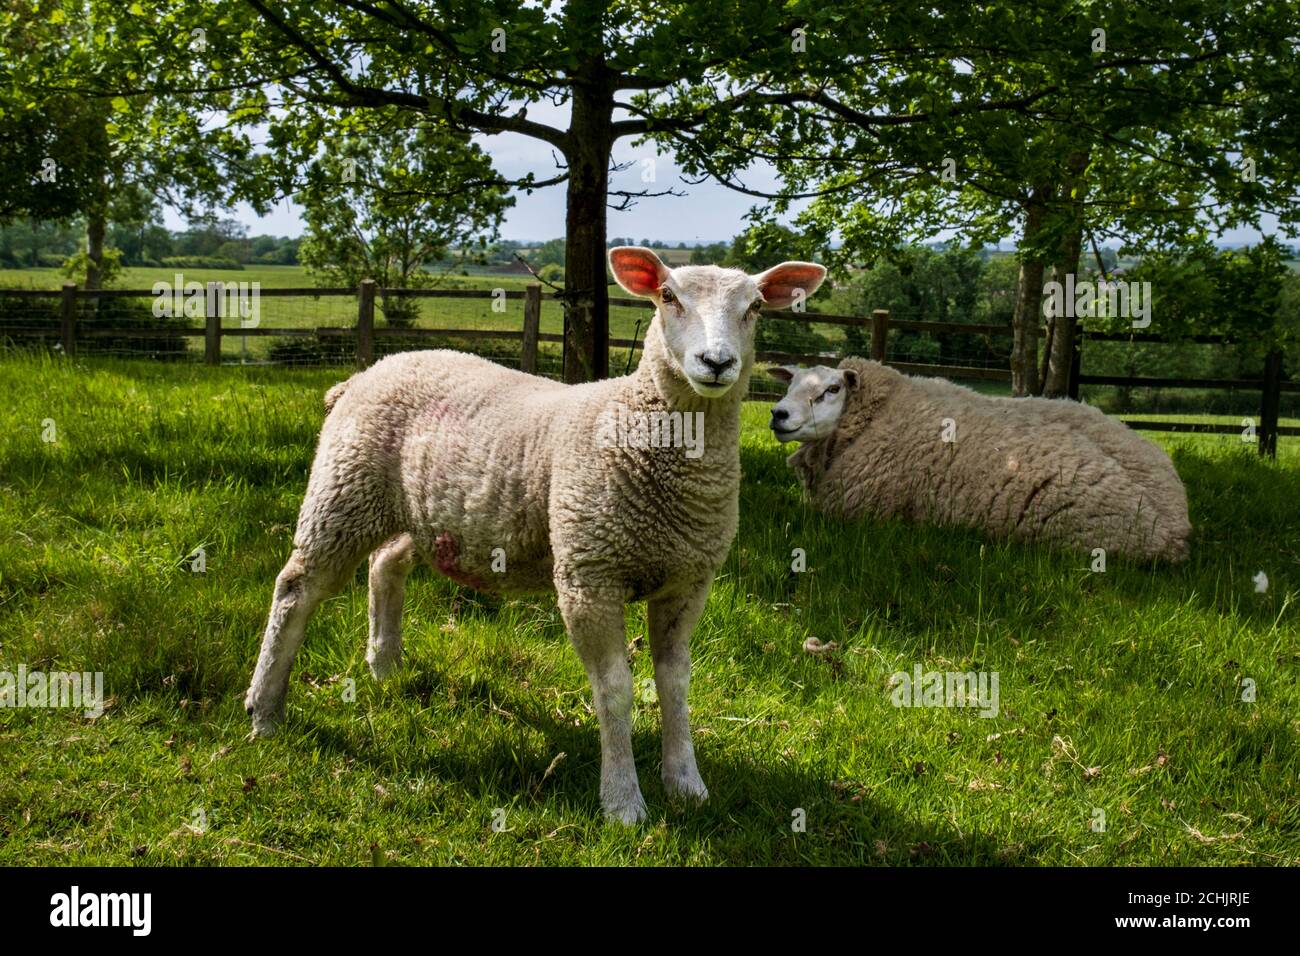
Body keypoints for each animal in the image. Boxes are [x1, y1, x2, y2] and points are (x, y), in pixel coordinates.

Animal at [245, 244, 821, 822]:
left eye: (755, 307)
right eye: (667, 296)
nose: (717, 363)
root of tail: (368, 371)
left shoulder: (689, 580)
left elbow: (676, 683)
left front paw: (685, 782)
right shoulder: (589, 575)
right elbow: (614, 689)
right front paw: (623, 801)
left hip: (420, 510)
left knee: (385, 565)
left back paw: (384, 667)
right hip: (344, 489)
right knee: (295, 589)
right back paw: (264, 710)